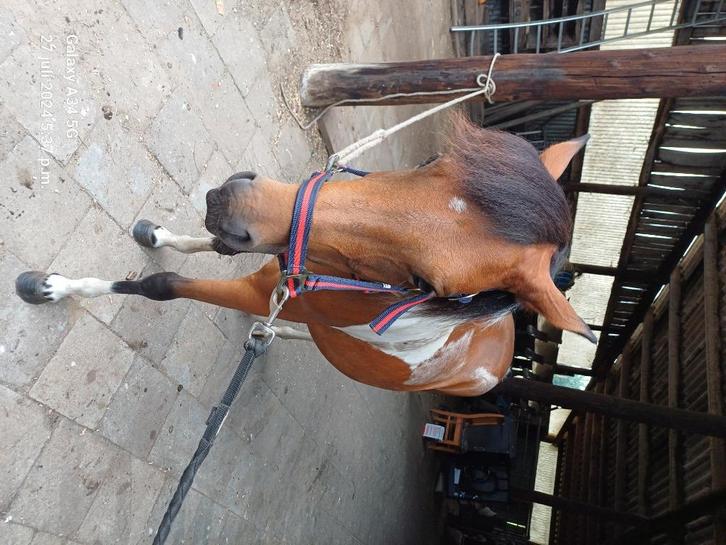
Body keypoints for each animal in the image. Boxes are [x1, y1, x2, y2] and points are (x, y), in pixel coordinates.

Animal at [15, 116, 593, 397]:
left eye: (426, 284)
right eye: (433, 161)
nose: (232, 201)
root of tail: (500, 363)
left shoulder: (259, 288)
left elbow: (163, 285)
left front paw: (49, 288)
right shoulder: (270, 266)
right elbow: (199, 246)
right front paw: (153, 234)